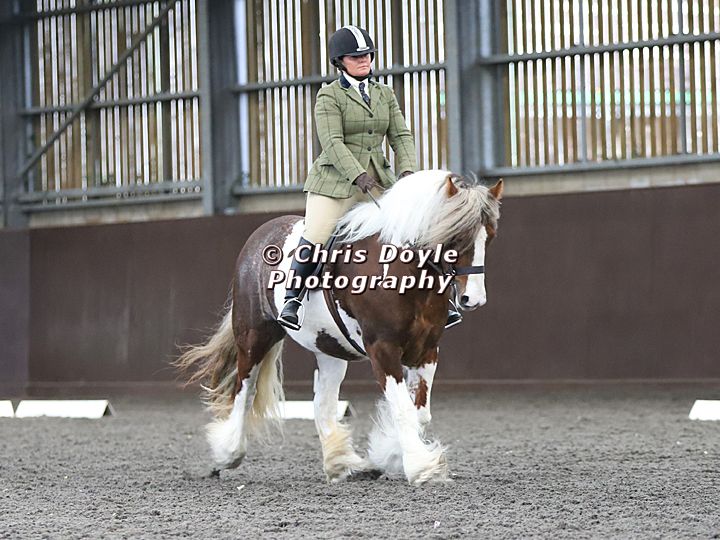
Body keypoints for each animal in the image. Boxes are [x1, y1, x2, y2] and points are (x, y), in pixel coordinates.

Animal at [175, 170, 503, 485]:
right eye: (457, 238)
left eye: (490, 237)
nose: (473, 299)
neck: (402, 271)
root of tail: (262, 233)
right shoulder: (382, 349)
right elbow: (403, 410)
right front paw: (422, 468)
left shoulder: (427, 349)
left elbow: (419, 413)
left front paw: (387, 454)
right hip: (254, 336)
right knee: (244, 391)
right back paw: (227, 455)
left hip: (329, 348)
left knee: (322, 404)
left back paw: (342, 464)